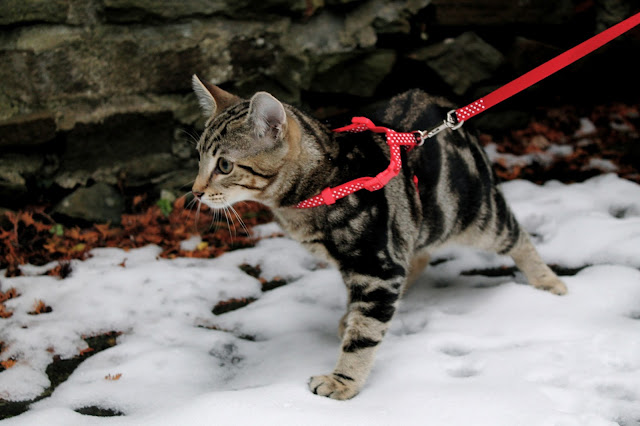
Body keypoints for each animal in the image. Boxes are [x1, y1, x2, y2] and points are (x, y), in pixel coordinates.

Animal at [190, 74, 567, 400]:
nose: (195, 191)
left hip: (476, 215)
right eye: (199, 159)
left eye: (224, 166)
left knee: (517, 236)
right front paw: (349, 319)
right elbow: (360, 306)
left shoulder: (377, 266)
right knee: (418, 255)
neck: (318, 187)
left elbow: (364, 336)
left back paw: (549, 282)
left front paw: (343, 381)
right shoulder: (369, 263)